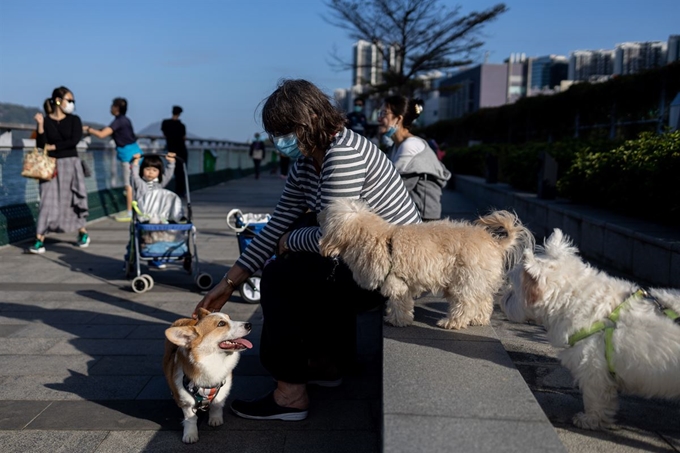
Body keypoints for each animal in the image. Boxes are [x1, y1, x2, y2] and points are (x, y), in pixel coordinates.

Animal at [164, 308, 252, 442]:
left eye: (230, 318)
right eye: (221, 324)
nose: (249, 325)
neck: (214, 362)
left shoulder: (222, 390)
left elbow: (217, 405)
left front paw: (215, 419)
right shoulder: (186, 402)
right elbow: (190, 418)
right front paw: (190, 434)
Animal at [320, 198, 536, 328]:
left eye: (328, 217)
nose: (318, 213)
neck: (380, 239)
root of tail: (495, 243)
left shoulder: (396, 282)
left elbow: (398, 303)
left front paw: (397, 321)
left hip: (465, 281)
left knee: (466, 303)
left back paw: (452, 322)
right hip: (478, 281)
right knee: (483, 301)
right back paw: (478, 319)